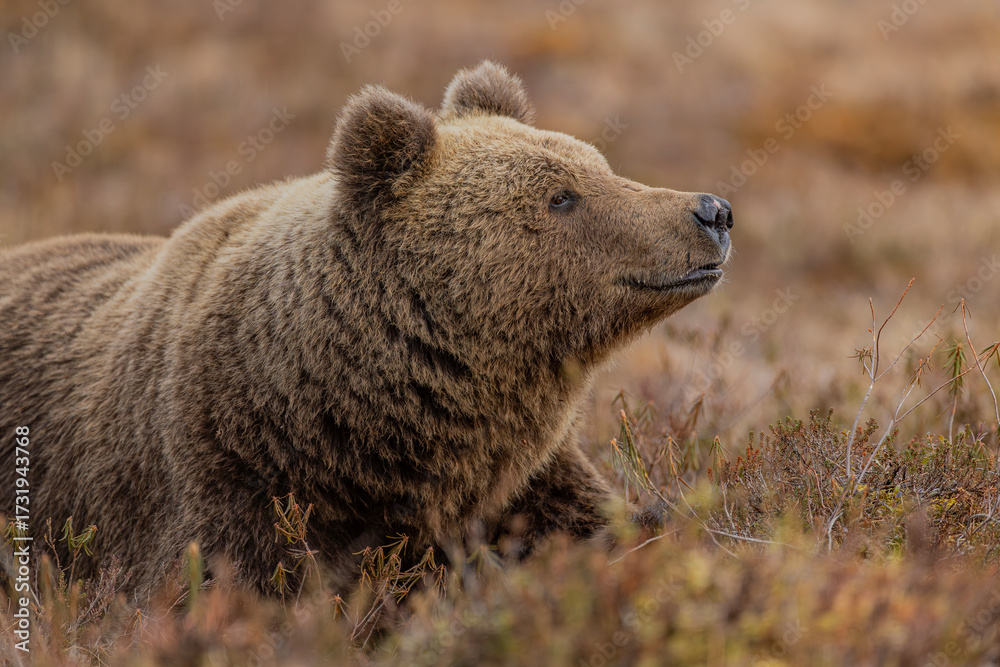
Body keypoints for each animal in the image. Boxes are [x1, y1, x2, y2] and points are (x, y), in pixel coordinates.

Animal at [0, 61, 733, 598]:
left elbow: (600, 528)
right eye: (561, 196)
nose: (712, 210)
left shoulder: (524, 479)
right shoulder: (224, 483)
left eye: (600, 166)